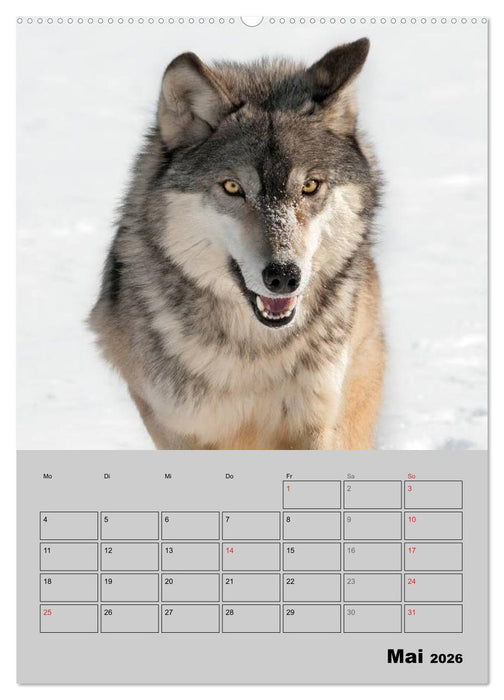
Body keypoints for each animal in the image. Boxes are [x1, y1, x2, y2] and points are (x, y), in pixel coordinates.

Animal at [89, 37, 385, 450]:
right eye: (232, 187)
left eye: (310, 186)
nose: (283, 276)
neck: (255, 353)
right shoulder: (180, 428)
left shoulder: (317, 423)